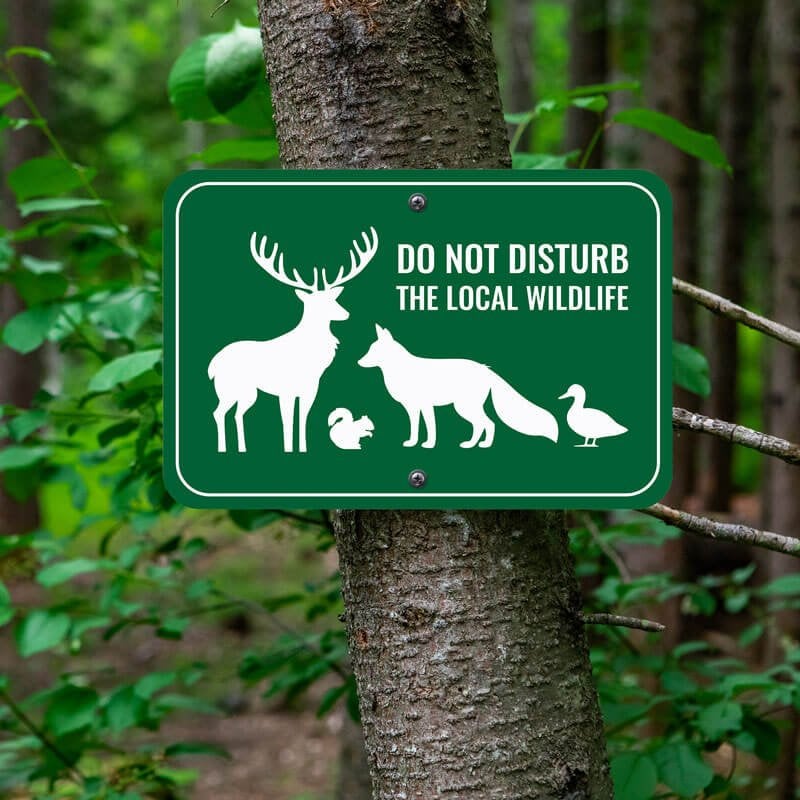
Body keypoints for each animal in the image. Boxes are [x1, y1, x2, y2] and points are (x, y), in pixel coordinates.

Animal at [208, 227, 378, 454]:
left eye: (333, 299)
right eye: (317, 304)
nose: (346, 314)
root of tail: (212, 366)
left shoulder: (310, 388)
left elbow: (302, 419)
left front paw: (303, 448)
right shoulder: (285, 390)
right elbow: (287, 421)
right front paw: (289, 448)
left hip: (247, 393)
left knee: (236, 413)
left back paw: (242, 448)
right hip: (229, 388)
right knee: (219, 413)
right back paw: (223, 447)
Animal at [357, 324, 559, 449]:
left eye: (373, 351)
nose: (358, 362)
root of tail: (485, 369)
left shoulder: (426, 406)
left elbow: (431, 428)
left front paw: (429, 445)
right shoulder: (413, 408)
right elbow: (415, 428)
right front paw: (413, 443)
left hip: (464, 408)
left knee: (487, 423)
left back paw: (479, 445)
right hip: (466, 408)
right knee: (484, 424)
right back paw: (474, 444)